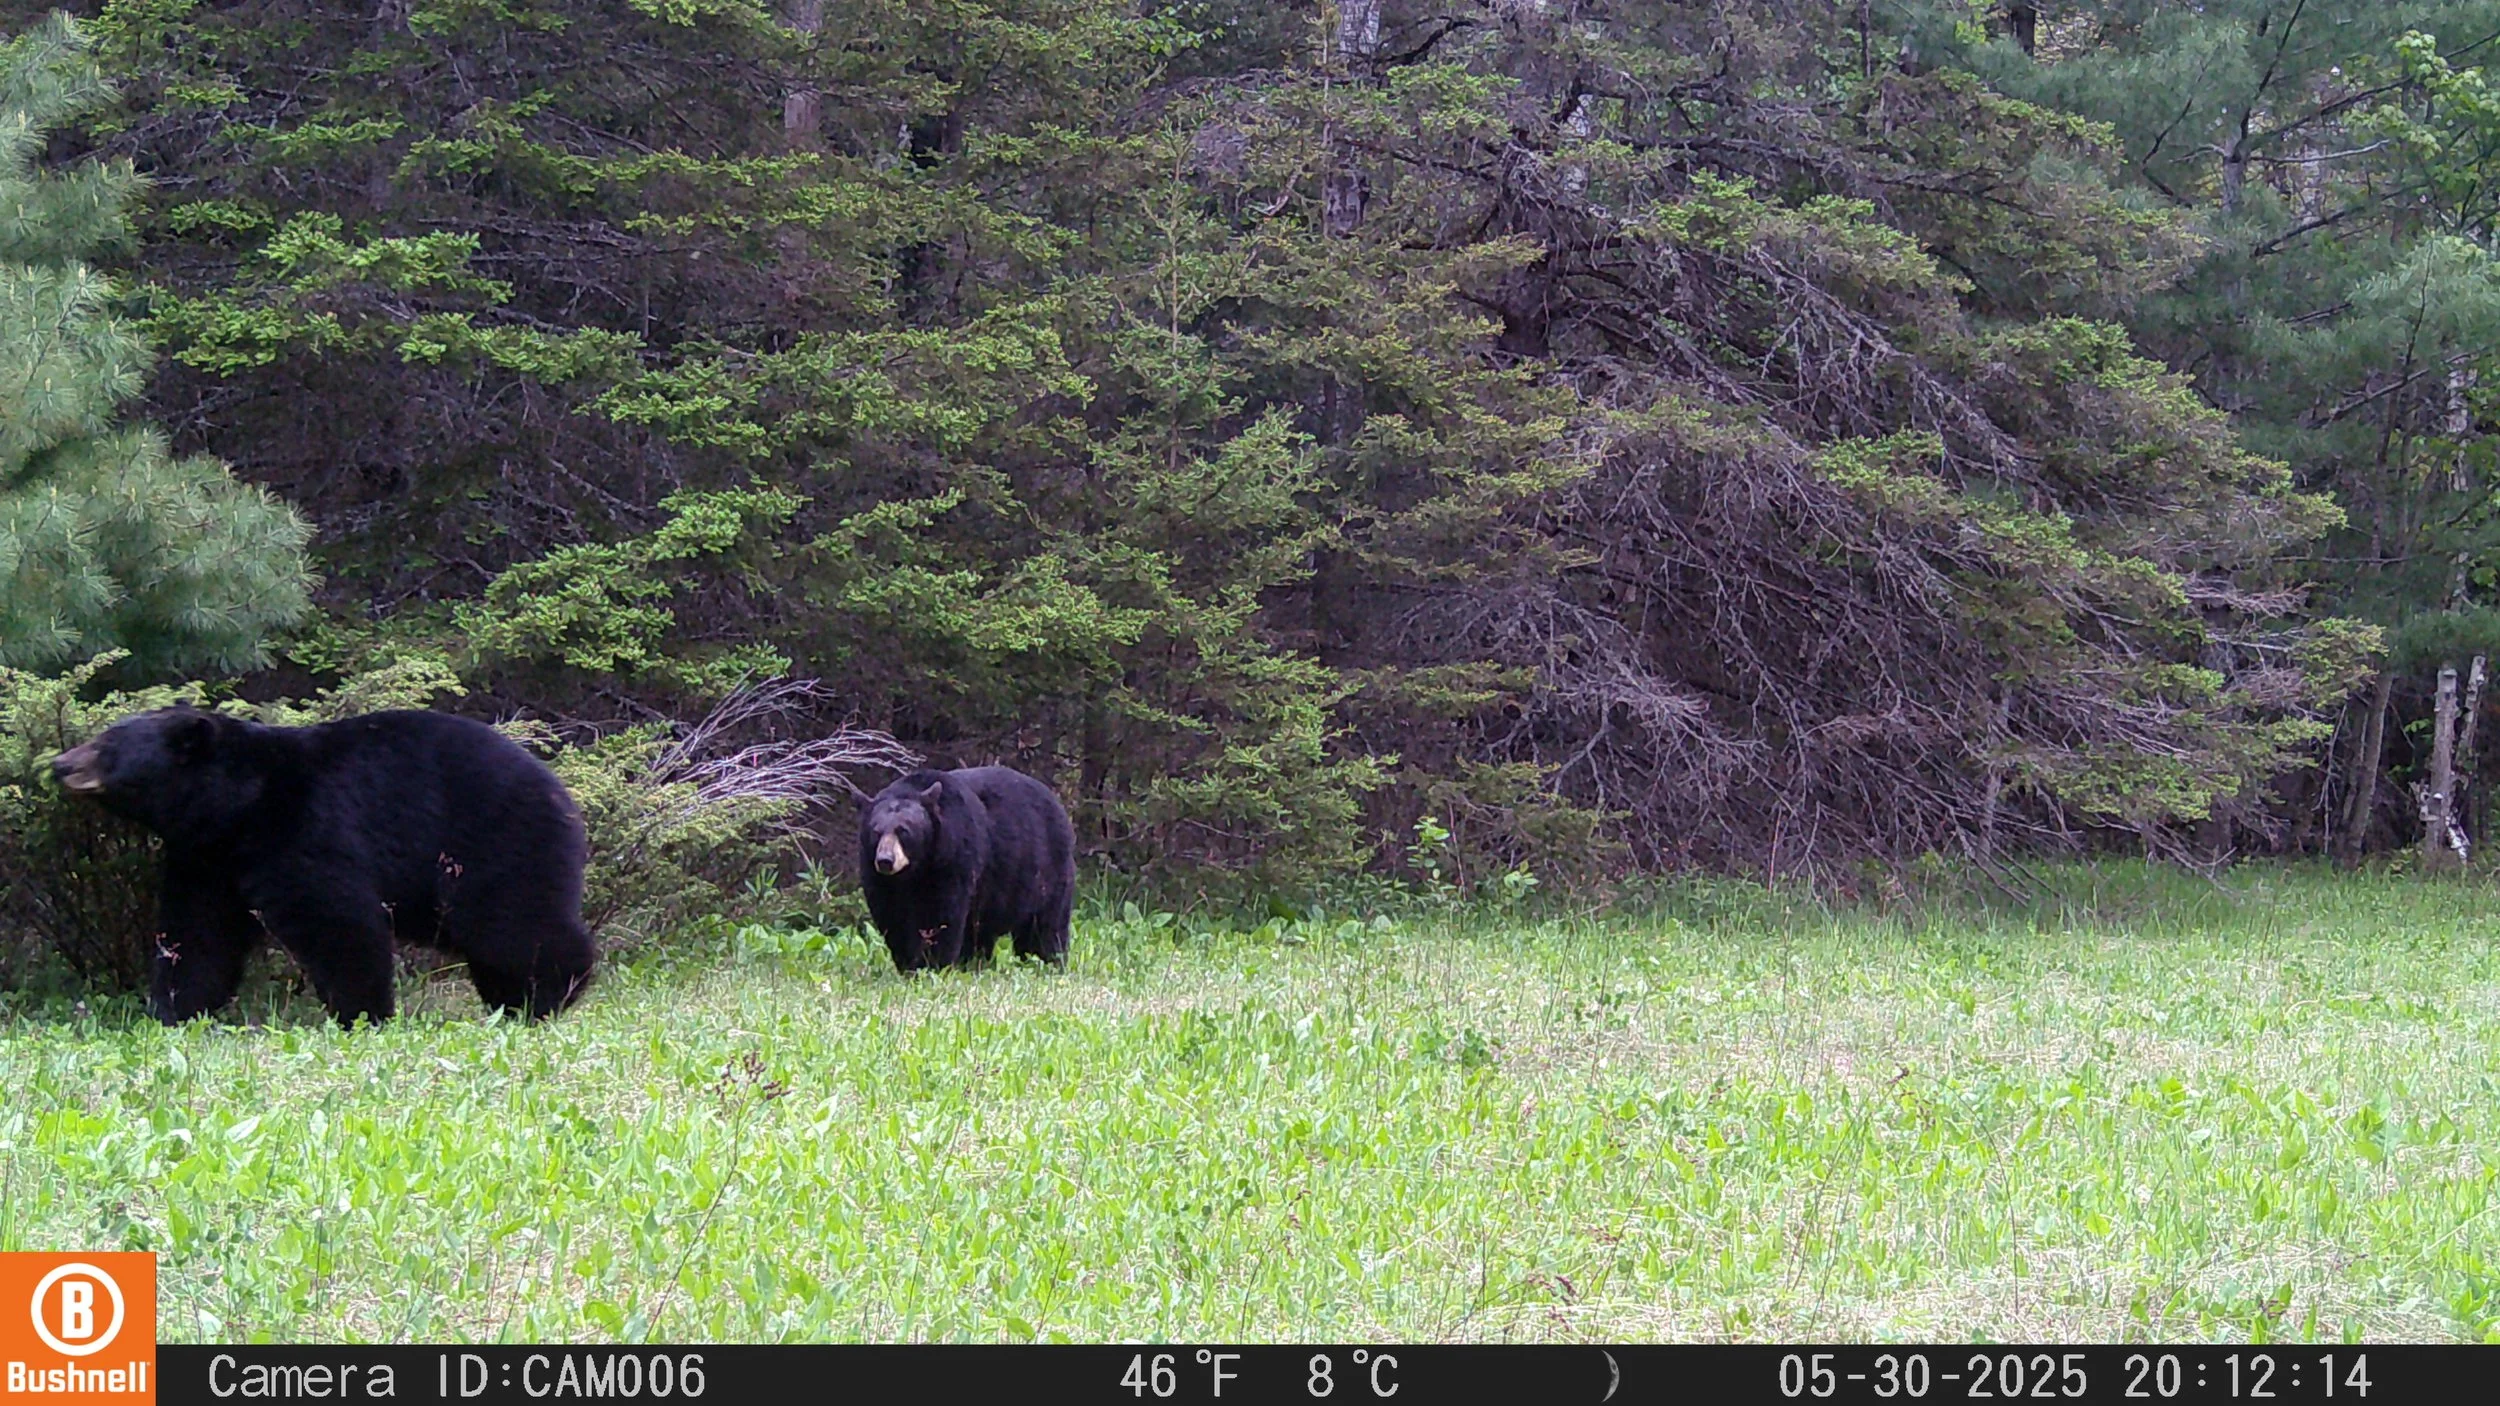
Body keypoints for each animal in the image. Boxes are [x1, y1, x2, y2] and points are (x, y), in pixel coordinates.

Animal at [50, 706, 596, 1027]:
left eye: (107, 743)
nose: (59, 763)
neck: (237, 807)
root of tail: (563, 796)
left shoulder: (304, 827)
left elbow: (336, 918)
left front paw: (361, 1013)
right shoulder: (206, 858)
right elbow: (196, 933)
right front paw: (174, 1009)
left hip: (493, 842)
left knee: (512, 924)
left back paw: (547, 995)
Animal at [858, 765, 1075, 973]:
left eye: (904, 831)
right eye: (876, 832)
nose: (885, 860)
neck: (914, 871)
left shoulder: (953, 859)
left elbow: (939, 915)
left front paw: (933, 964)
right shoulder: (878, 876)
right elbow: (892, 917)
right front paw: (908, 963)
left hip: (1047, 871)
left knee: (1045, 927)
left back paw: (1047, 962)